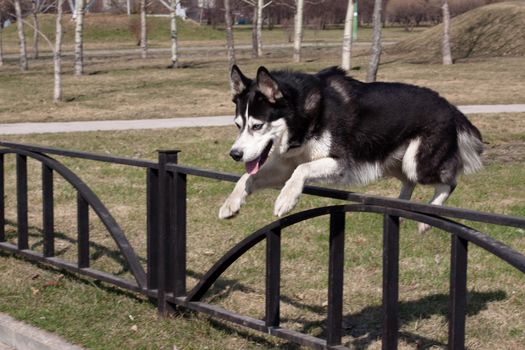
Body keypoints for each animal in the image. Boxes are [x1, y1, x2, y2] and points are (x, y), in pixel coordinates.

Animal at [218, 65, 484, 232]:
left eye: (257, 125)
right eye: (238, 125)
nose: (235, 154)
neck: (306, 116)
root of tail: (451, 107)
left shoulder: (339, 162)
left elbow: (301, 170)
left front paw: (286, 199)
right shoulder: (284, 165)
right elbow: (247, 178)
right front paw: (231, 203)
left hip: (418, 163)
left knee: (448, 182)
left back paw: (428, 216)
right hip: (390, 162)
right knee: (409, 181)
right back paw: (401, 205)